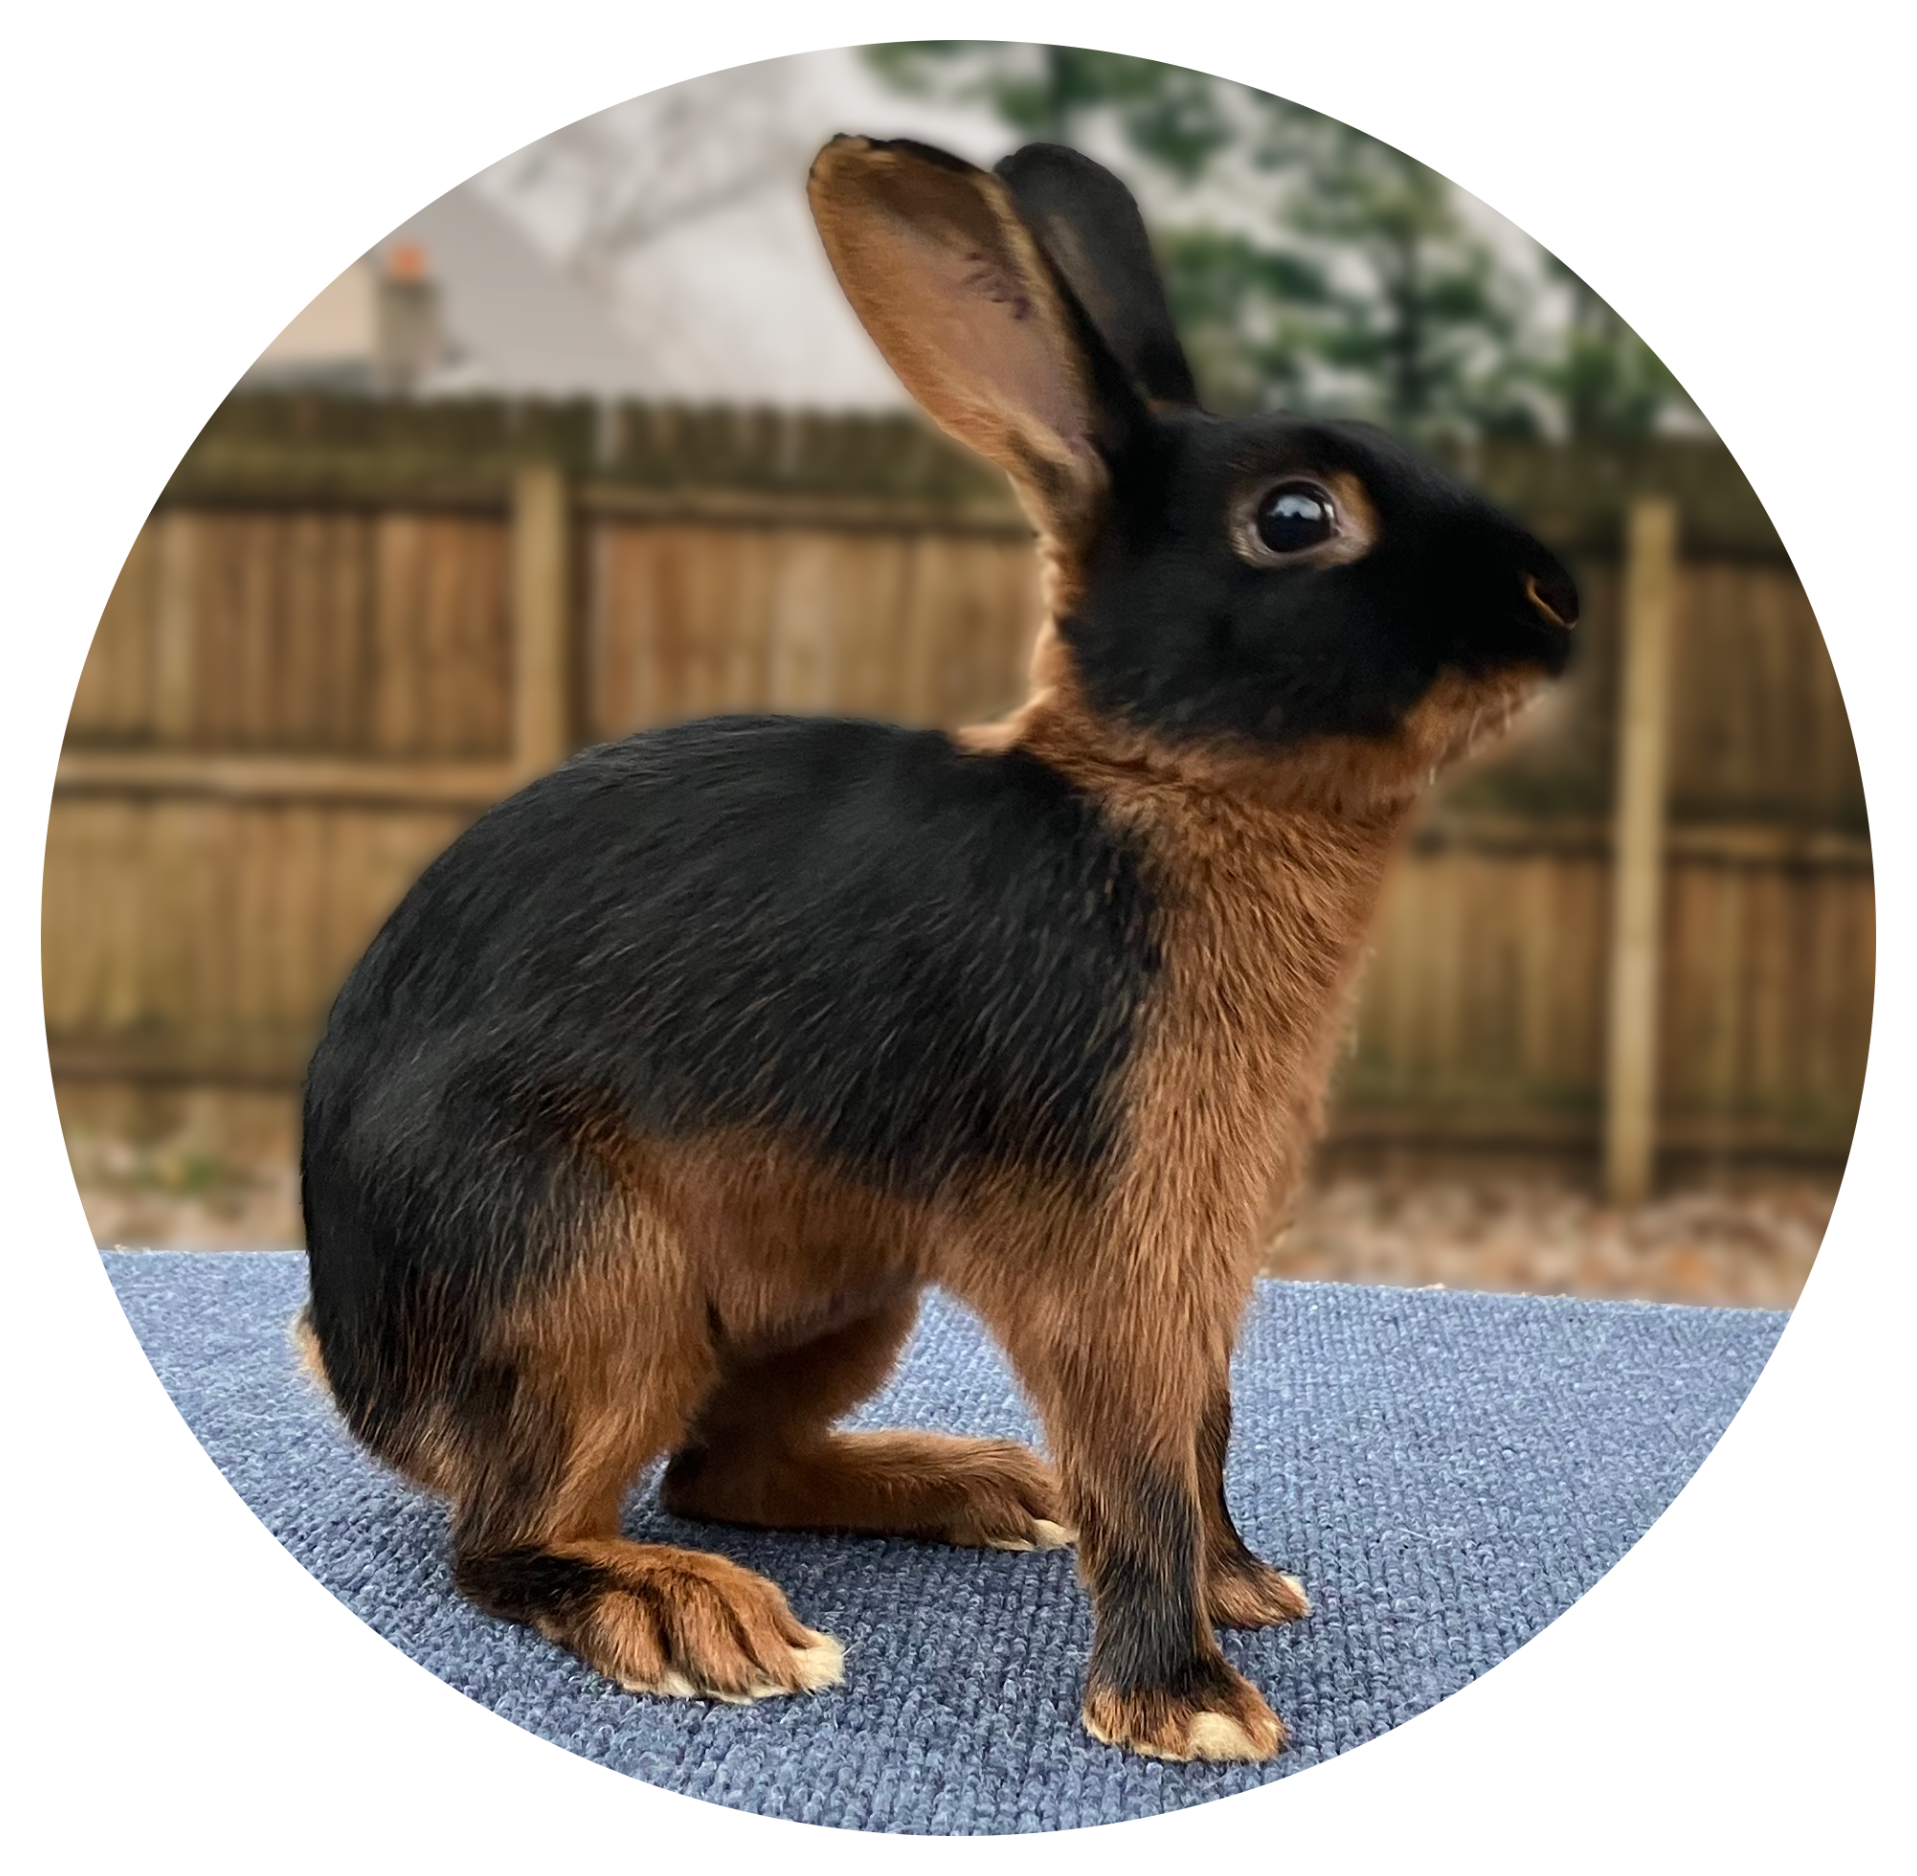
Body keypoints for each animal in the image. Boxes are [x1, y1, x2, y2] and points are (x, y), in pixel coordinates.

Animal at [295, 134, 1577, 1765]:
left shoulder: (1197, 1260)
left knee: (724, 1468)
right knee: (516, 1535)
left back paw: (970, 1488)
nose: (1557, 596)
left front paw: (1247, 1588)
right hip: (581, 1275)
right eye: (1296, 518)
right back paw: (698, 1618)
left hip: (843, 1293)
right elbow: (1139, 1468)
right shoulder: (1111, 1260)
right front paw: (1187, 1701)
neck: (1161, 789)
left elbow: (1204, 1434)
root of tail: (356, 1359)